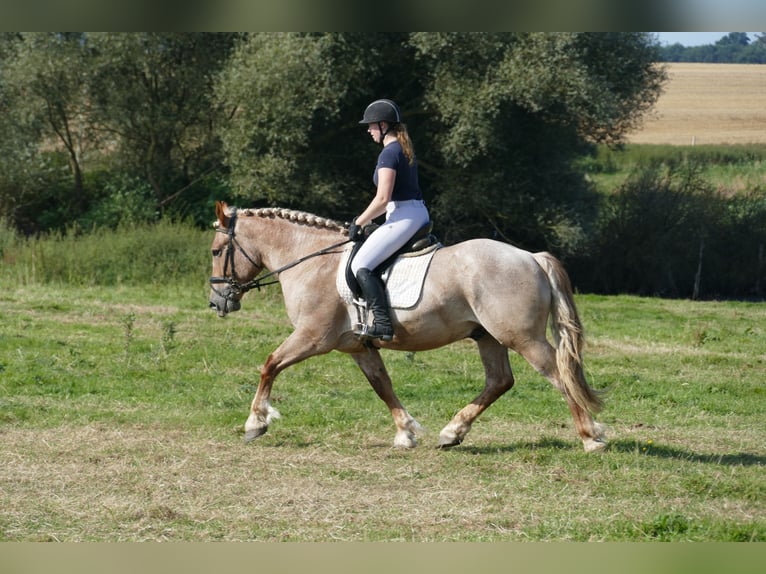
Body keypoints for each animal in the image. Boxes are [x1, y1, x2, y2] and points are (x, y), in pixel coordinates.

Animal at [207, 202, 608, 454]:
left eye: (215, 251)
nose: (217, 303)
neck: (311, 262)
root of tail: (532, 257)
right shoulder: (358, 347)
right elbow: (382, 385)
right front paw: (406, 432)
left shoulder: (311, 337)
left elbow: (270, 364)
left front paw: (255, 423)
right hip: (488, 337)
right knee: (499, 381)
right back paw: (452, 432)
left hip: (522, 338)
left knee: (558, 375)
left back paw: (590, 437)